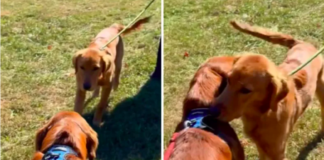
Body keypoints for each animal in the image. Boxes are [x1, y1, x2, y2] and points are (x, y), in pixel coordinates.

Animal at [210, 21, 324, 159]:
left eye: (246, 90)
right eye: (228, 80)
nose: (211, 111)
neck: (262, 114)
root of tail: (301, 43)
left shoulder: (278, 152)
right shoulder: (261, 147)